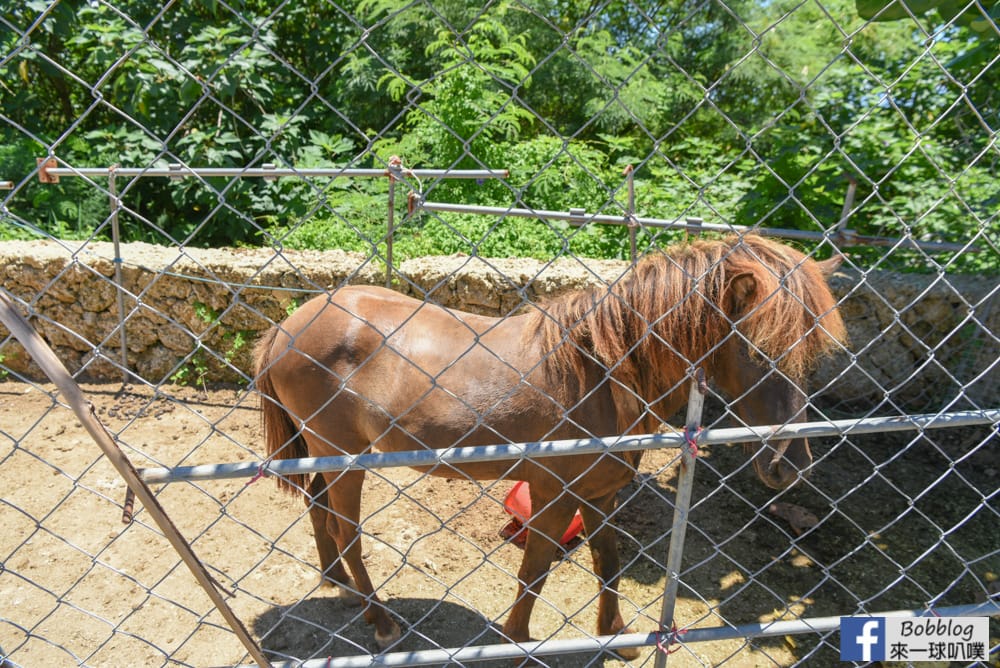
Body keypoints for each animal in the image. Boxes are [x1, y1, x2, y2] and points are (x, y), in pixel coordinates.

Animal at [252, 232, 844, 656]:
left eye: (816, 351)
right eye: (758, 349)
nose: (791, 465)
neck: (603, 374)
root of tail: (286, 328)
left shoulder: (602, 493)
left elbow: (609, 561)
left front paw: (618, 637)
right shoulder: (552, 494)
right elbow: (534, 571)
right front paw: (514, 641)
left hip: (327, 455)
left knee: (318, 506)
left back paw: (338, 584)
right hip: (347, 460)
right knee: (345, 530)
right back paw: (379, 621)